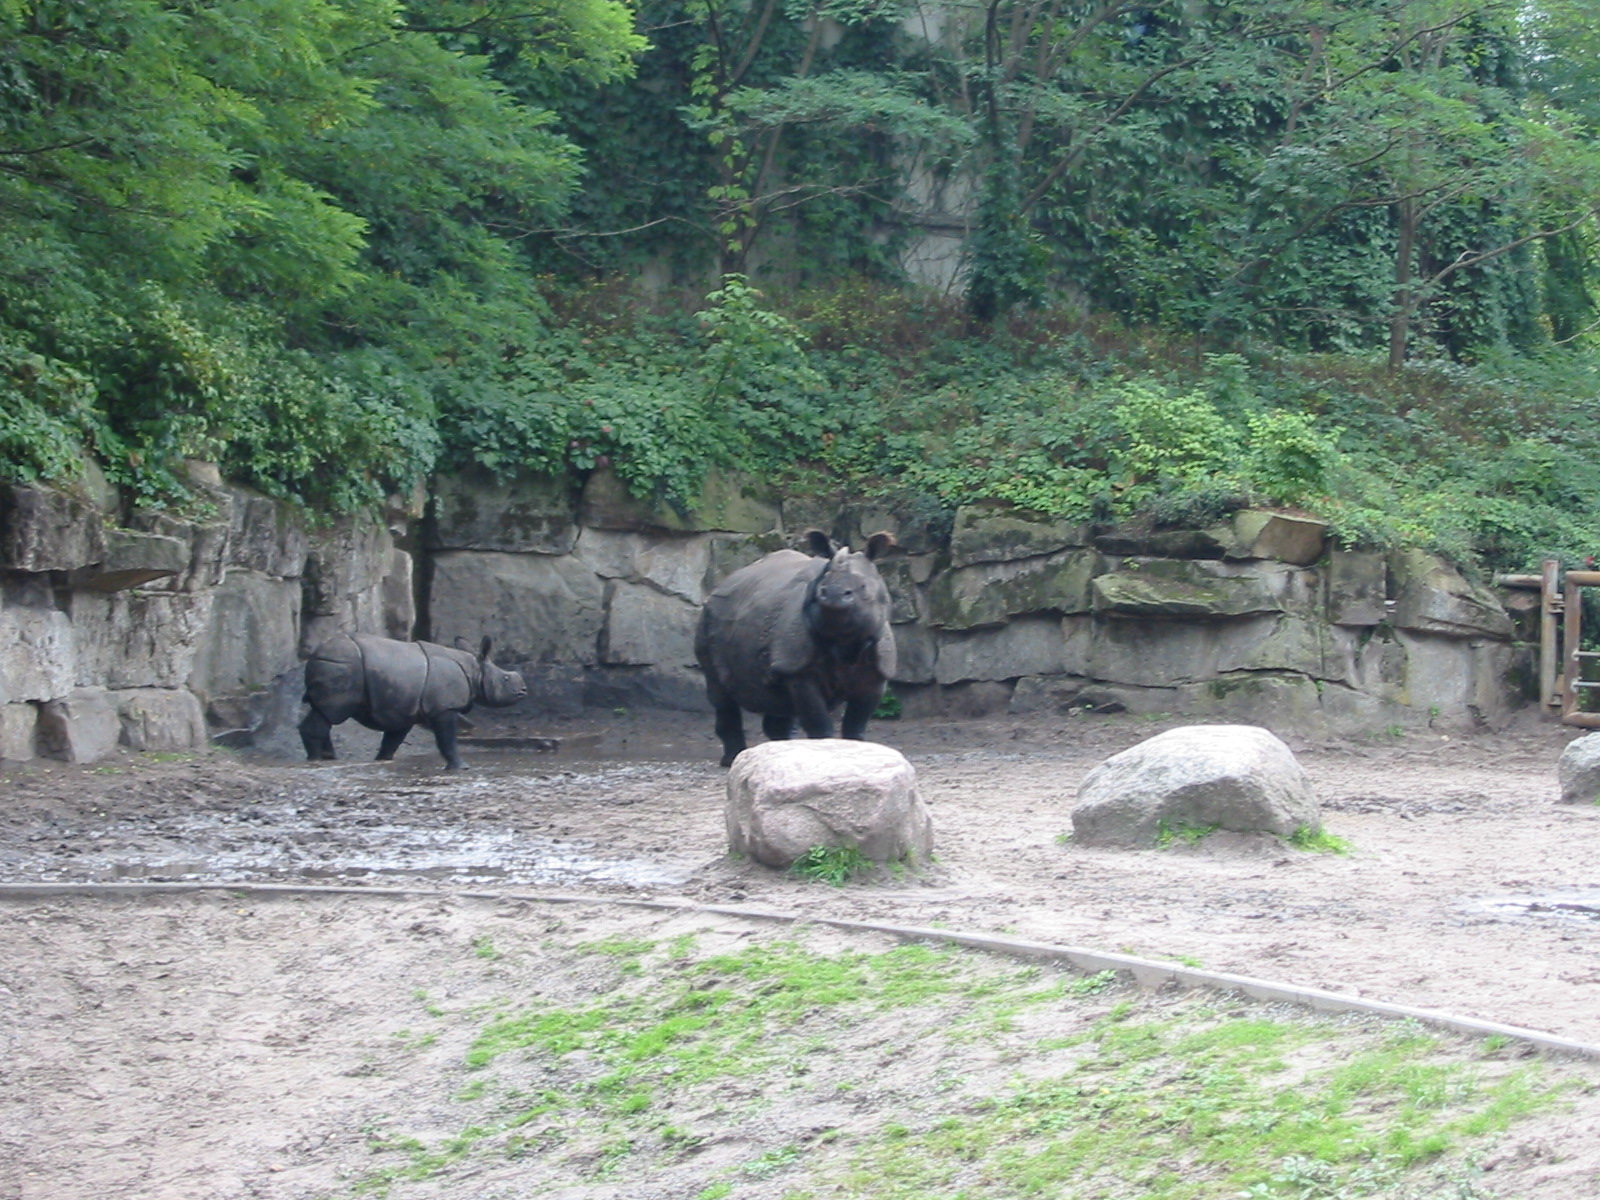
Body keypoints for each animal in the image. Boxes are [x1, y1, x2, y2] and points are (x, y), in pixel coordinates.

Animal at [299, 632, 527, 769]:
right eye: (506, 679)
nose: (524, 690)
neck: (475, 670)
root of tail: (316, 653)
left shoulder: (403, 709)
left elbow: (393, 740)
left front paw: (383, 760)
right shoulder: (444, 708)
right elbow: (447, 739)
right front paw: (461, 767)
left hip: (339, 664)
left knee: (323, 713)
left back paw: (328, 757)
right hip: (343, 665)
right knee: (330, 713)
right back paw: (316, 758)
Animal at [695, 530, 897, 767]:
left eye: (863, 587)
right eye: (822, 586)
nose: (833, 595)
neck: (845, 641)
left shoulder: (877, 670)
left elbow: (856, 723)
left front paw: (857, 754)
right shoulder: (799, 669)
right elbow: (818, 721)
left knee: (778, 701)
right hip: (708, 617)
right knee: (720, 693)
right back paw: (732, 759)